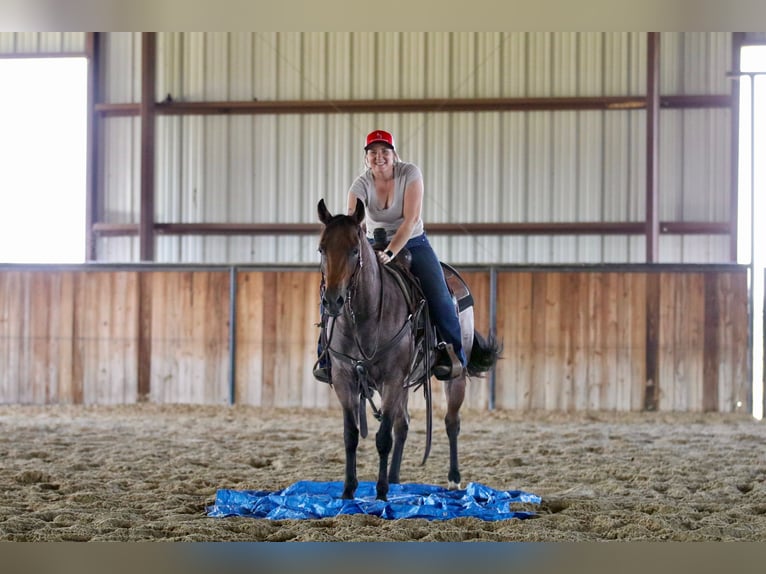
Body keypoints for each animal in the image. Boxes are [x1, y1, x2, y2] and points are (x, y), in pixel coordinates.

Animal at [317, 198, 501, 501]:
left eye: (355, 250)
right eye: (321, 249)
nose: (333, 301)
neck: (366, 317)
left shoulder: (392, 379)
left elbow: (383, 438)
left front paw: (380, 495)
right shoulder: (345, 379)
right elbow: (351, 435)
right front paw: (348, 491)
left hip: (454, 376)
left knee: (451, 422)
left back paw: (453, 478)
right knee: (402, 424)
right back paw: (394, 479)